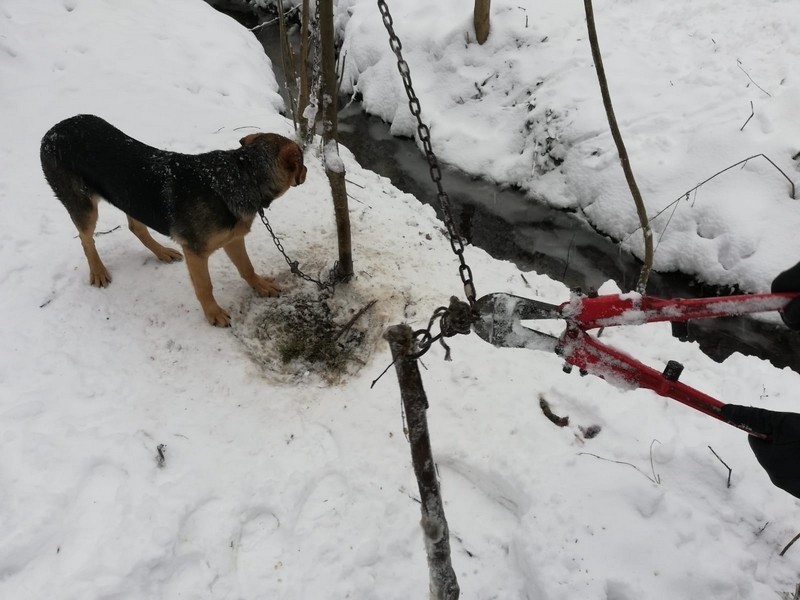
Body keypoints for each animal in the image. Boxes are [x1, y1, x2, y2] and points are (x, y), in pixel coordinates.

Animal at [39, 114, 310, 326]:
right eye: (302, 162)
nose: (306, 172)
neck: (242, 173)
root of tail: (52, 131)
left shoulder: (233, 240)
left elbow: (247, 268)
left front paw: (261, 286)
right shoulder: (196, 252)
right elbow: (205, 286)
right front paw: (213, 313)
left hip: (131, 197)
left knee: (135, 227)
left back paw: (161, 252)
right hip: (84, 207)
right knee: (86, 239)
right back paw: (98, 271)